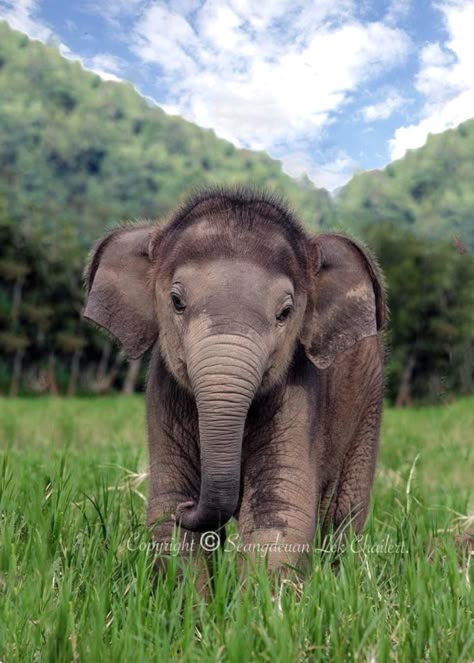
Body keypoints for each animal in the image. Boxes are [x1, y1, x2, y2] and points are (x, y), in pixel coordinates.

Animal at [84, 187, 386, 572]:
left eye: (285, 313)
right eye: (176, 301)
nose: (190, 507)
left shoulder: (300, 390)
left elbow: (277, 512)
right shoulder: (163, 391)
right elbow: (169, 517)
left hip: (368, 404)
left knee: (342, 518)